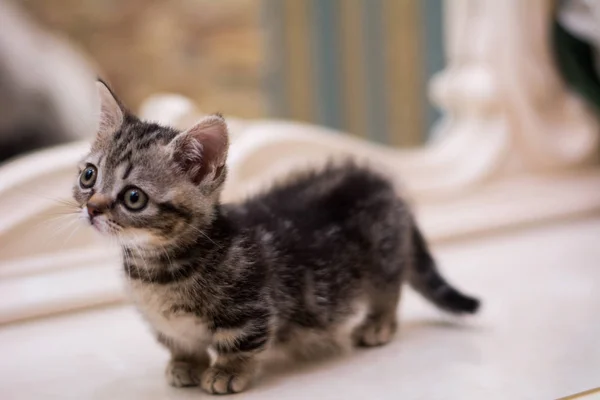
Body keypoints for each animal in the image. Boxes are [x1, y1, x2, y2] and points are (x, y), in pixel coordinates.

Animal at [74, 80, 478, 394]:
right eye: (88, 176)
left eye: (133, 197)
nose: (92, 208)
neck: (156, 267)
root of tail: (384, 184)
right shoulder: (166, 324)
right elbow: (180, 343)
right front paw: (185, 363)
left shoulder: (250, 308)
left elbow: (239, 342)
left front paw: (226, 372)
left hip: (383, 259)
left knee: (389, 290)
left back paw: (378, 324)